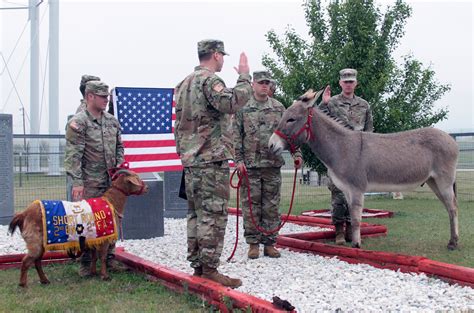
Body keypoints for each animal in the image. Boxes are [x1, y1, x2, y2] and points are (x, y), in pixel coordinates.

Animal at [8, 169, 147, 286]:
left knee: (37, 261)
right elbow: (102, 257)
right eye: (137, 178)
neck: (111, 202)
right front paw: (105, 276)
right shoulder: (104, 237)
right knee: (26, 261)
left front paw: (93, 273)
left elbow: (94, 256)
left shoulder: (94, 237)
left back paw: (44, 280)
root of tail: (23, 214)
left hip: (41, 243)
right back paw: (23, 284)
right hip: (34, 241)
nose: (146, 188)